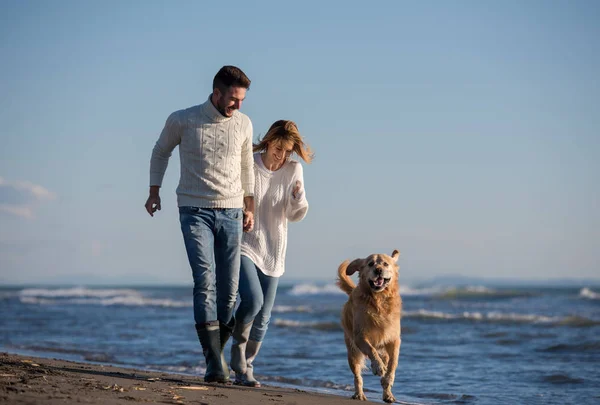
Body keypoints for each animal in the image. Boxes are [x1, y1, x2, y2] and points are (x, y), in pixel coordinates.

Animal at [338, 249, 404, 400]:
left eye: (385, 264)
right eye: (370, 264)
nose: (378, 270)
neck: (379, 299)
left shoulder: (394, 339)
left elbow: (393, 363)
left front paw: (387, 379)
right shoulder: (360, 337)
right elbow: (371, 350)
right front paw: (378, 367)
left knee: (386, 359)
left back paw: (388, 394)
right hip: (352, 352)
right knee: (357, 376)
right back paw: (359, 394)